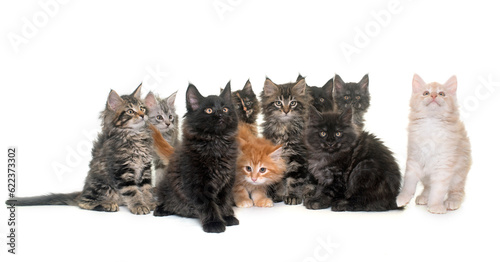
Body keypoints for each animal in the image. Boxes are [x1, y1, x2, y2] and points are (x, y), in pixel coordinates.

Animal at [5, 86, 154, 215]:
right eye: (130, 111)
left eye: (142, 108)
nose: (142, 115)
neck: (135, 136)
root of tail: (83, 191)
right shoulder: (122, 169)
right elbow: (132, 191)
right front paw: (139, 205)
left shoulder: (146, 168)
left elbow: (146, 188)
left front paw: (148, 202)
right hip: (103, 185)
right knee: (84, 203)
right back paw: (106, 204)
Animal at [154, 82, 240, 233]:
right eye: (209, 110)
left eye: (225, 109)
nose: (220, 114)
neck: (216, 142)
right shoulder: (197, 183)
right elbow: (208, 205)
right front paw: (214, 223)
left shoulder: (227, 180)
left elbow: (224, 201)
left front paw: (227, 216)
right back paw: (161, 210)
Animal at [260, 77, 310, 205]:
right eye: (278, 103)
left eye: (293, 103)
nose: (286, 111)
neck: (283, 127)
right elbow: (278, 181)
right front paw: (278, 195)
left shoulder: (297, 157)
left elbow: (294, 181)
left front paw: (292, 196)